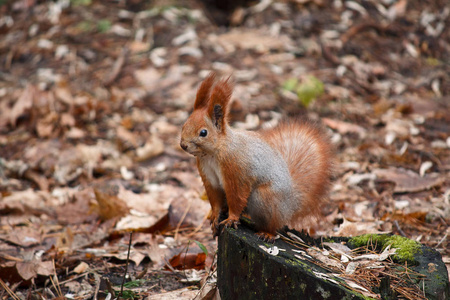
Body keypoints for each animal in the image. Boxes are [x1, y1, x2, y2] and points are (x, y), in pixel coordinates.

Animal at [180, 73, 334, 241]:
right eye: (184, 125)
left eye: (203, 132)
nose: (183, 145)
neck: (213, 154)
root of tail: (290, 206)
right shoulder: (208, 175)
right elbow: (214, 199)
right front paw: (215, 217)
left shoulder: (236, 171)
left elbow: (237, 197)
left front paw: (232, 219)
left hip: (265, 199)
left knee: (273, 225)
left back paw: (267, 233)